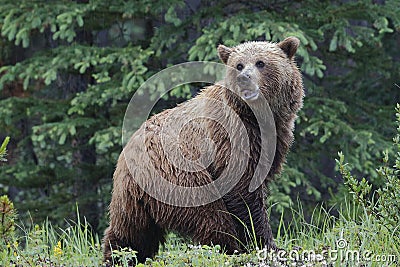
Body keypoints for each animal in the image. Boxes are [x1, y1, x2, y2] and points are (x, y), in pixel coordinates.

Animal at [102, 36, 304, 264]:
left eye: (260, 63)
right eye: (239, 65)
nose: (244, 78)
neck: (258, 117)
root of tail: (128, 150)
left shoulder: (274, 139)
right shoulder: (232, 137)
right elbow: (244, 191)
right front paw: (267, 244)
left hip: (131, 195)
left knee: (131, 230)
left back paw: (118, 257)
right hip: (180, 174)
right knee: (210, 216)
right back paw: (228, 249)